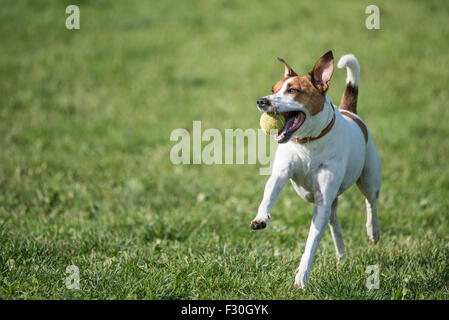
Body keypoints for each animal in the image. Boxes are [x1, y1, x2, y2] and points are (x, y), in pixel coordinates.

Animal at [250, 50, 380, 290]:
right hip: (330, 201)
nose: (261, 101)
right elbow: (269, 194)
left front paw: (302, 276)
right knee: (335, 222)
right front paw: (260, 218)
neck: (308, 143)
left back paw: (373, 231)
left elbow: (312, 242)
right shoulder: (281, 174)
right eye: (273, 89)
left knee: (371, 203)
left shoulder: (322, 199)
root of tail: (350, 111)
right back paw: (341, 258)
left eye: (292, 90)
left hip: (369, 177)